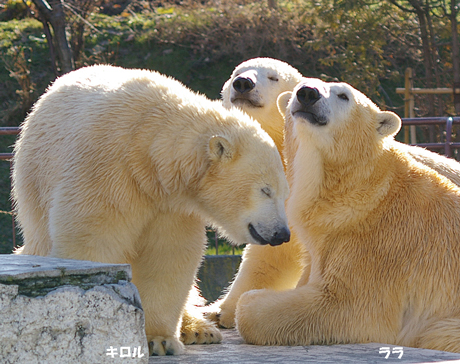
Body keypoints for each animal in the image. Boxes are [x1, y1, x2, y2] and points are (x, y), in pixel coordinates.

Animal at [11, 64, 292, 356]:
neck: (148, 147)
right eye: (265, 190)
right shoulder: (105, 173)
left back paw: (199, 329)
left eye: (284, 193)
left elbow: (167, 255)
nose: (281, 234)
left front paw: (160, 339)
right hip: (35, 180)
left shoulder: (171, 203)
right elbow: (92, 241)